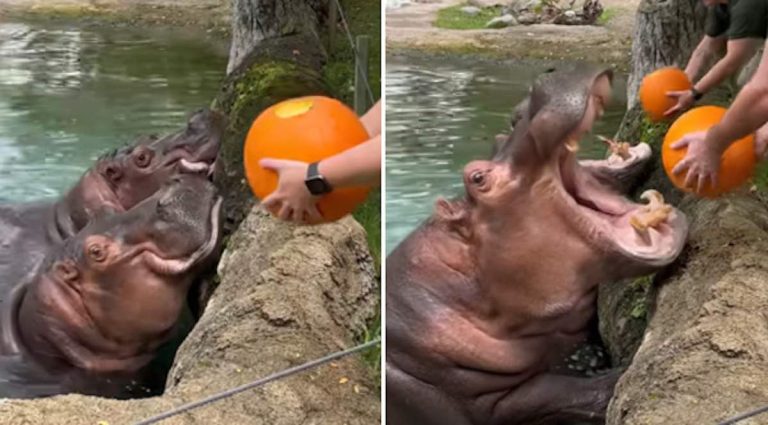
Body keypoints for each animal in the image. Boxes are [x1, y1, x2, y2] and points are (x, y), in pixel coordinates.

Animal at [386, 65, 689, 425]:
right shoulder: (492, 401)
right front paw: (624, 377)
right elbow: (566, 392)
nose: (522, 107)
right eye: (478, 178)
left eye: (499, 139)